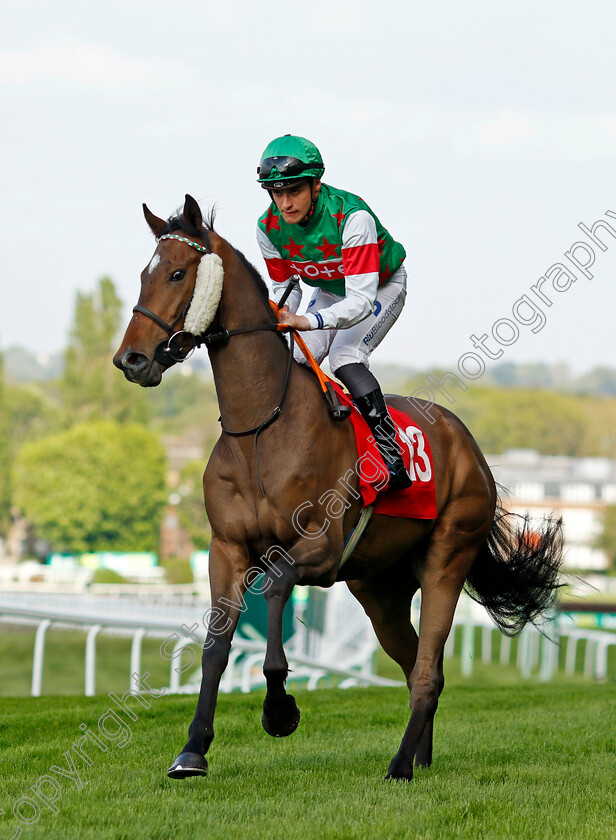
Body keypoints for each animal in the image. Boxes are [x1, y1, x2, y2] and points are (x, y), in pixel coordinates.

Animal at [112, 195, 564, 780]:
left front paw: (279, 708)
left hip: (448, 554)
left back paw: (399, 765)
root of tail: (469, 446)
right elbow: (216, 644)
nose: (131, 359)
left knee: (428, 669)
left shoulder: (321, 549)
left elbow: (276, 588)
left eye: (177, 273)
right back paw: (421, 758)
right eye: (144, 275)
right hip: (379, 587)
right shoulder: (226, 548)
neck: (260, 427)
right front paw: (193, 749)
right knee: (416, 661)